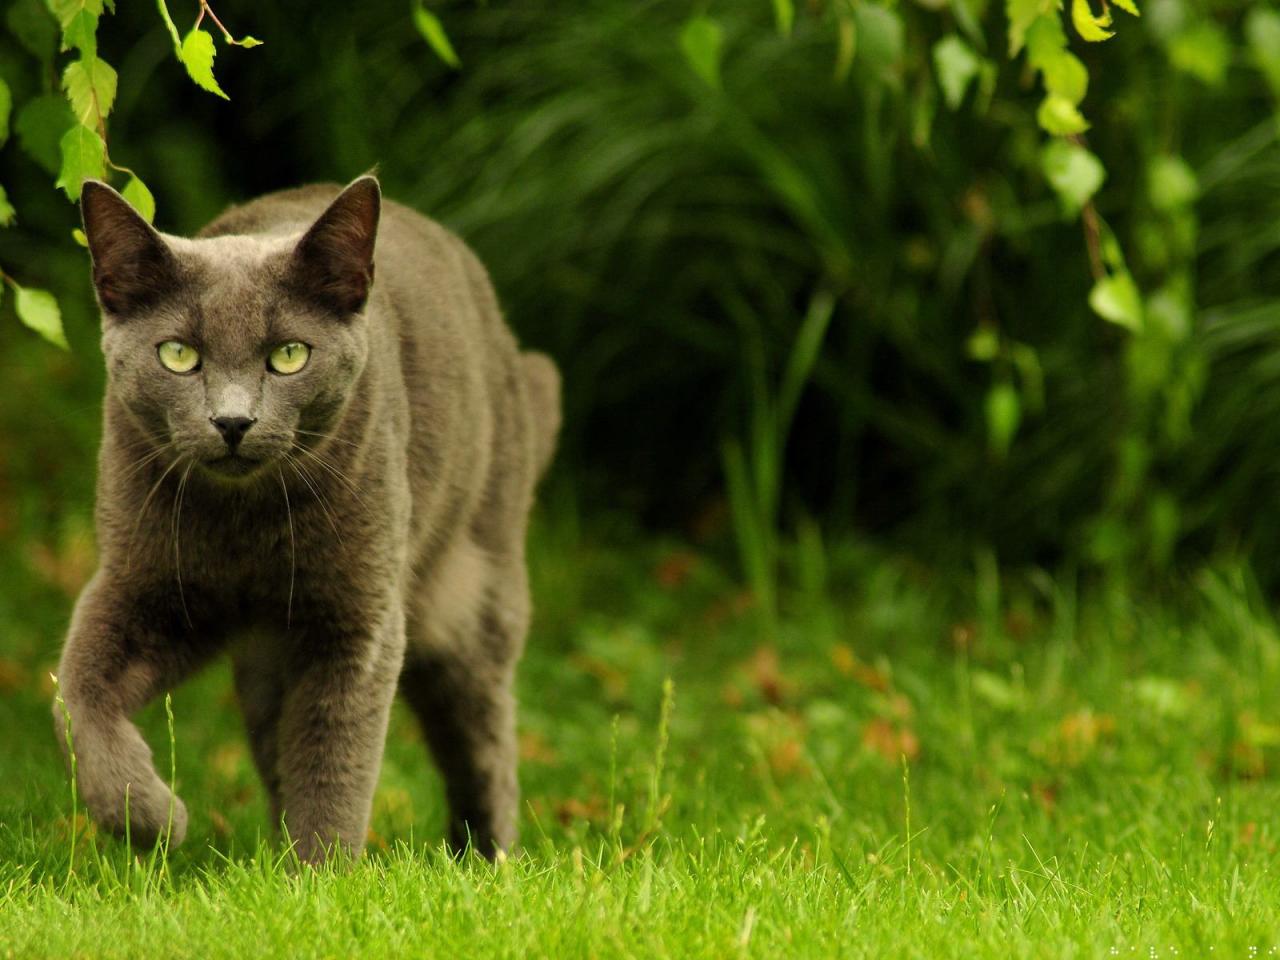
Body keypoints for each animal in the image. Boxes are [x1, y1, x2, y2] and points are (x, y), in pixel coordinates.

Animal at [51, 176, 560, 870]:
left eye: (289, 355)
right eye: (178, 354)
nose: (232, 421)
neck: (246, 526)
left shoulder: (358, 617)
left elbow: (333, 758)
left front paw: (321, 878)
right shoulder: (142, 584)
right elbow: (74, 694)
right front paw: (150, 819)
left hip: (474, 597)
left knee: (485, 747)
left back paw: (485, 862)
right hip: (266, 659)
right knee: (274, 746)